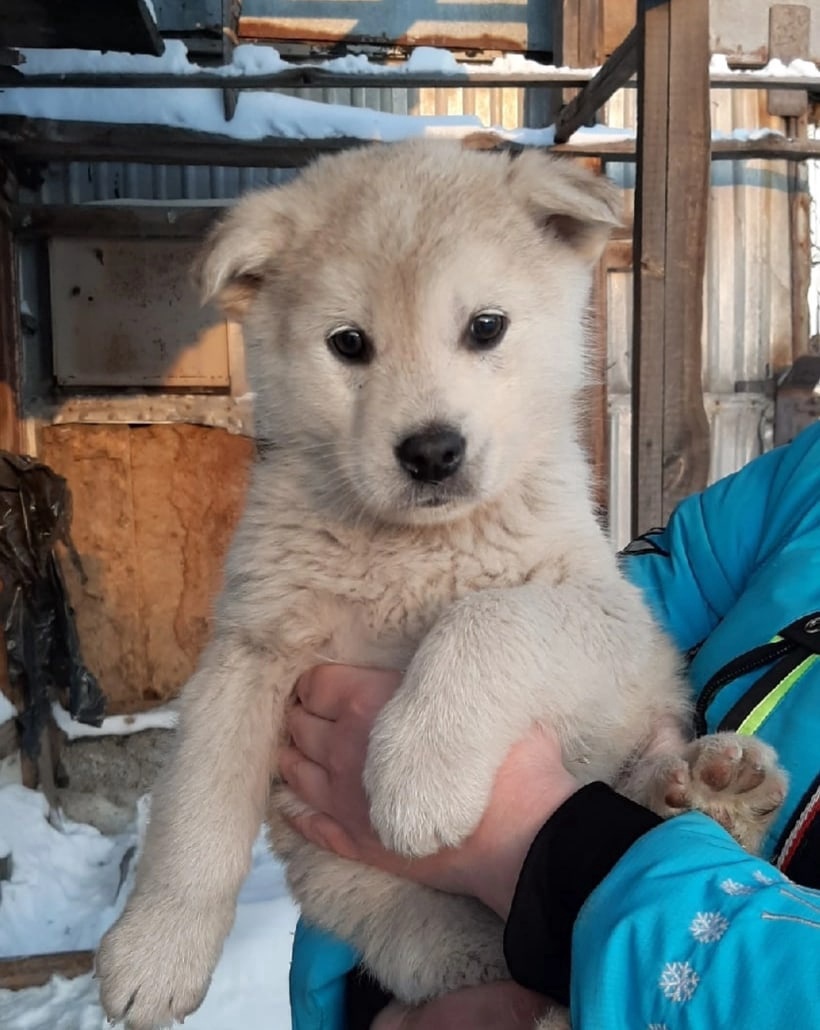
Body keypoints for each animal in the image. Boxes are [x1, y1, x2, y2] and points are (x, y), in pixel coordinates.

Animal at [96, 139, 782, 1030]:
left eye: (485, 327)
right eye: (349, 343)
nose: (430, 452)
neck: (410, 551)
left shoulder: (603, 613)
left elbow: (488, 615)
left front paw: (419, 774)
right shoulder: (251, 648)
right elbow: (196, 812)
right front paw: (155, 954)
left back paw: (717, 788)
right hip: (381, 905)